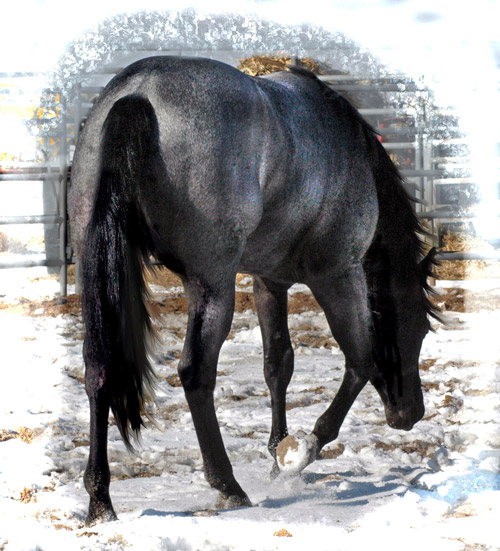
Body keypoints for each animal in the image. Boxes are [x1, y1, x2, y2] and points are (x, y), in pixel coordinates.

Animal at [67, 56, 438, 528]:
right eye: (418, 330)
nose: (411, 414)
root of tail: (139, 93)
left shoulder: (268, 281)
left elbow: (278, 363)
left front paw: (278, 451)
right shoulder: (339, 275)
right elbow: (362, 361)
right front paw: (301, 451)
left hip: (99, 273)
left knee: (98, 370)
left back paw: (100, 499)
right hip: (213, 284)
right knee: (195, 372)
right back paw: (227, 485)